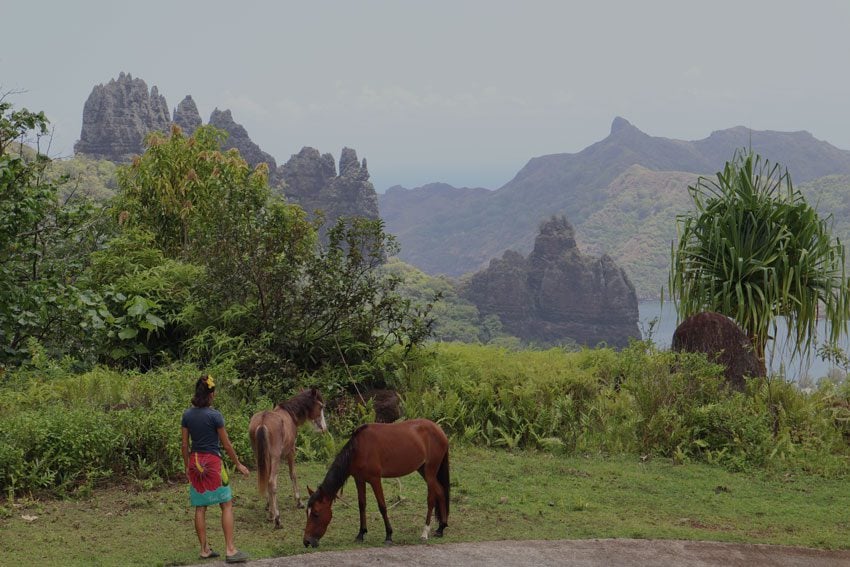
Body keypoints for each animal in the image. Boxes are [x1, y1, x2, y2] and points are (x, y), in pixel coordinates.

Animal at [247, 388, 326, 532]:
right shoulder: (291, 451)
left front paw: (269, 508)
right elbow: (293, 474)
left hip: (260, 457)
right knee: (272, 483)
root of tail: (262, 422)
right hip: (275, 458)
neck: (290, 414)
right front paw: (299, 501)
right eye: (321, 406)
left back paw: (272, 514)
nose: (324, 427)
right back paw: (277, 519)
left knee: (266, 480)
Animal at [302, 420, 448, 548]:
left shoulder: (375, 480)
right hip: (422, 470)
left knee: (431, 498)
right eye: (306, 512)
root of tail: (439, 429)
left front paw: (389, 535)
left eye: (316, 514)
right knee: (440, 491)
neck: (359, 448)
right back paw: (441, 528)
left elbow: (382, 506)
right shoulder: (359, 480)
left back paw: (425, 532)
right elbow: (362, 505)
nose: (307, 541)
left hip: (430, 471)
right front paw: (361, 534)